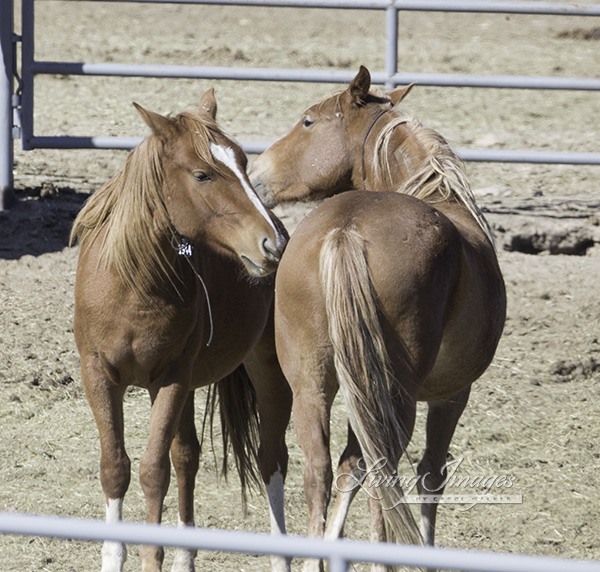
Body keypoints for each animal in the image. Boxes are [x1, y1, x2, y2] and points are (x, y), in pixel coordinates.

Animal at [71, 91, 292, 572]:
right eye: (201, 174)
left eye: (243, 162)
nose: (274, 243)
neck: (134, 285)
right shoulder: (100, 376)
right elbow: (116, 466)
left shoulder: (169, 379)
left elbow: (154, 471)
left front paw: (150, 557)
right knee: (187, 456)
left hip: (267, 372)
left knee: (272, 460)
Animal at [251, 67, 508, 568]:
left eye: (308, 122)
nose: (254, 174)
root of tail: (346, 230)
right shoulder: (453, 395)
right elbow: (431, 475)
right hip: (394, 396)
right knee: (378, 470)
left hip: (312, 385)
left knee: (323, 470)